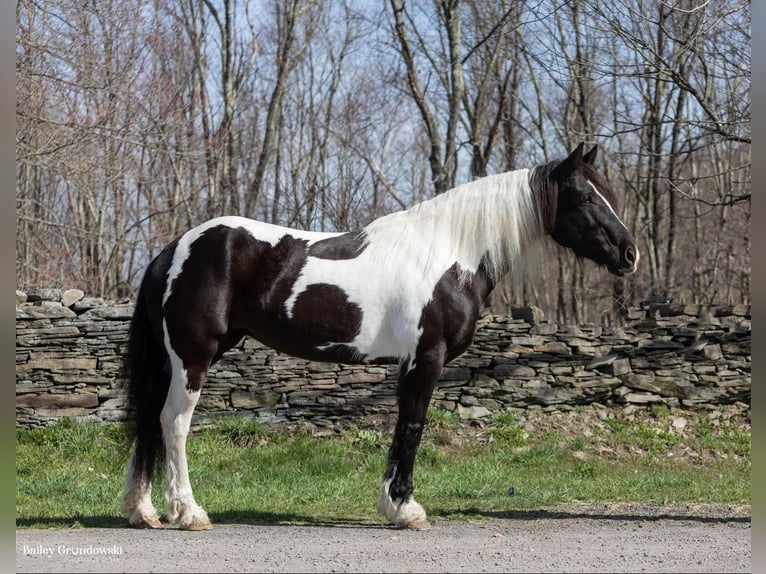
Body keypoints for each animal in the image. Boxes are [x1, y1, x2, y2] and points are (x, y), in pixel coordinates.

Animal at [123, 143, 640, 532]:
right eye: (587, 197)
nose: (630, 254)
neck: (450, 253)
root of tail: (172, 250)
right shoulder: (425, 359)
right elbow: (412, 428)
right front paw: (404, 508)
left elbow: (401, 429)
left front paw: (394, 504)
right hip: (194, 356)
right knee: (174, 423)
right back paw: (188, 512)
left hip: (178, 358)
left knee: (149, 420)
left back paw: (143, 510)